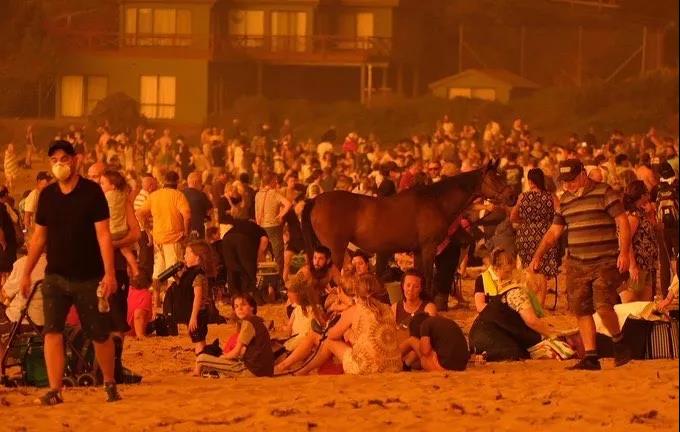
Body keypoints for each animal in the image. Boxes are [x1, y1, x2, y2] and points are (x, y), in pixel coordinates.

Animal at [301, 160, 513, 292]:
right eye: (495, 177)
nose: (511, 196)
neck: (435, 201)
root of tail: (315, 200)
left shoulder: (418, 250)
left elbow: (419, 276)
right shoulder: (428, 247)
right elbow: (428, 277)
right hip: (335, 250)